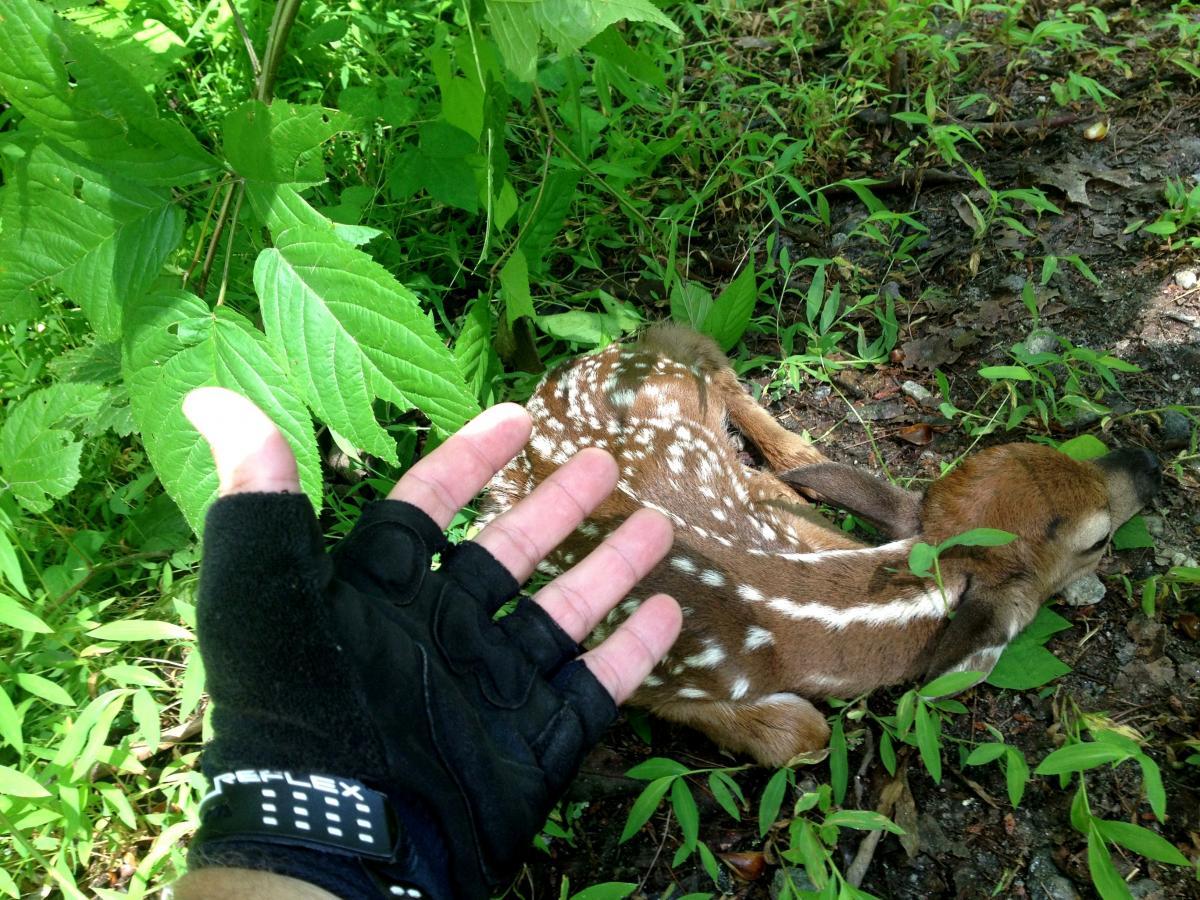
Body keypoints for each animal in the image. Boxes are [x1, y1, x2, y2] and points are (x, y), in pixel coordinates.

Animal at [481, 325, 1162, 766]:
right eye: (1097, 540)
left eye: (1036, 446)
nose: (1149, 461)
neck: (784, 615)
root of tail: (554, 377)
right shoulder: (652, 671)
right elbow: (804, 731)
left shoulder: (780, 517)